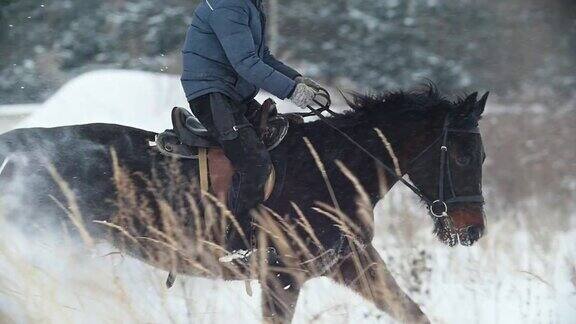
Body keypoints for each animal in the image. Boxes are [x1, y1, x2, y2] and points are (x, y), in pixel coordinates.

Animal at [0, 86, 488, 324]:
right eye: (464, 156)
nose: (472, 229)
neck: (332, 166)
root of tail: (16, 148)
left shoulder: (353, 262)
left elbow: (412, 312)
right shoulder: (282, 277)